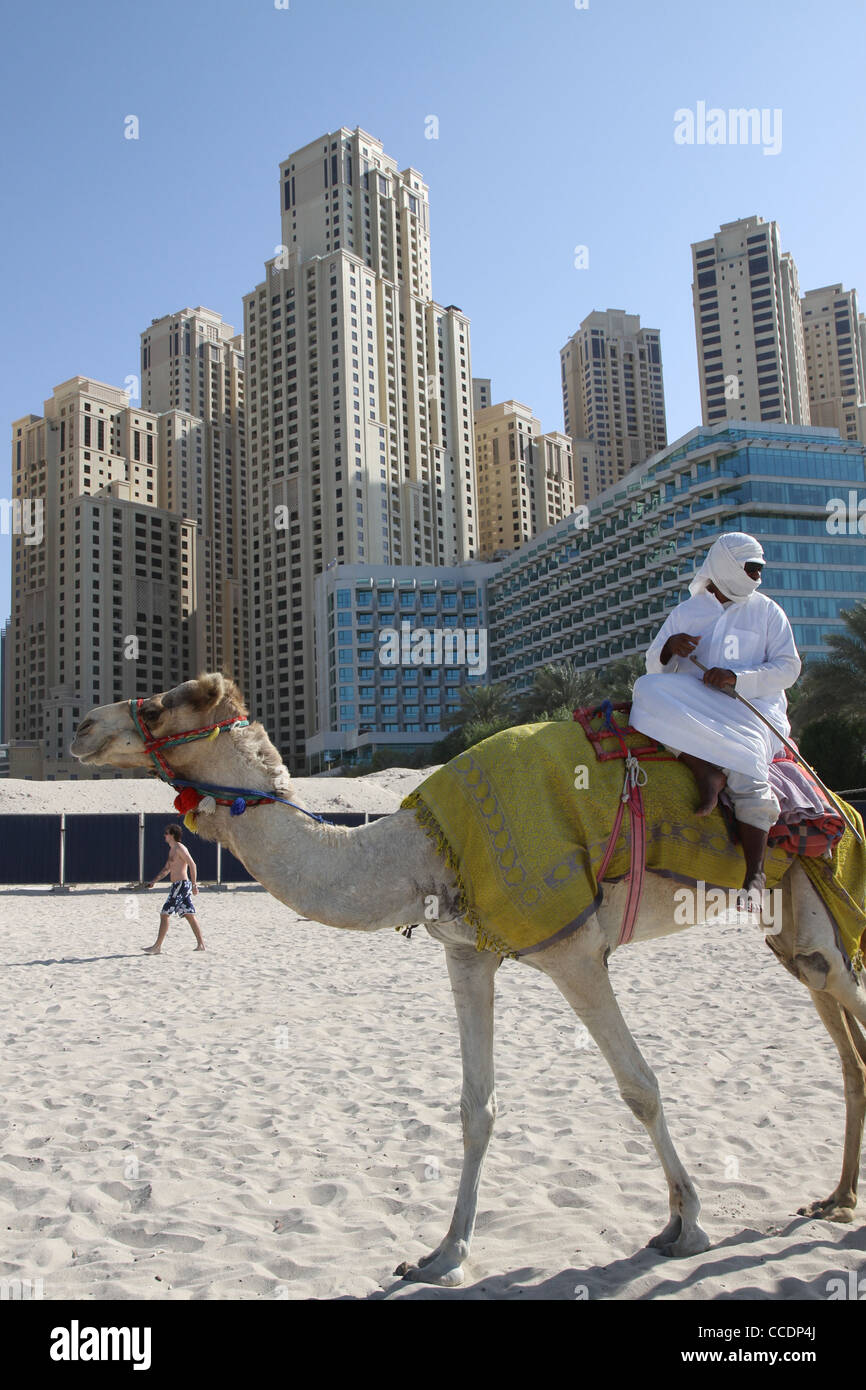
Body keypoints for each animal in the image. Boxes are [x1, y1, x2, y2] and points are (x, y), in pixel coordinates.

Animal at [69, 667, 866, 1284]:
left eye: (161, 703)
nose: (81, 724)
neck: (424, 852)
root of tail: (834, 798)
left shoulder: (573, 949)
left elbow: (639, 1087)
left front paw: (687, 1225)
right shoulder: (469, 954)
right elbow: (475, 1108)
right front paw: (443, 1254)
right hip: (796, 931)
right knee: (845, 1035)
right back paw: (835, 1200)